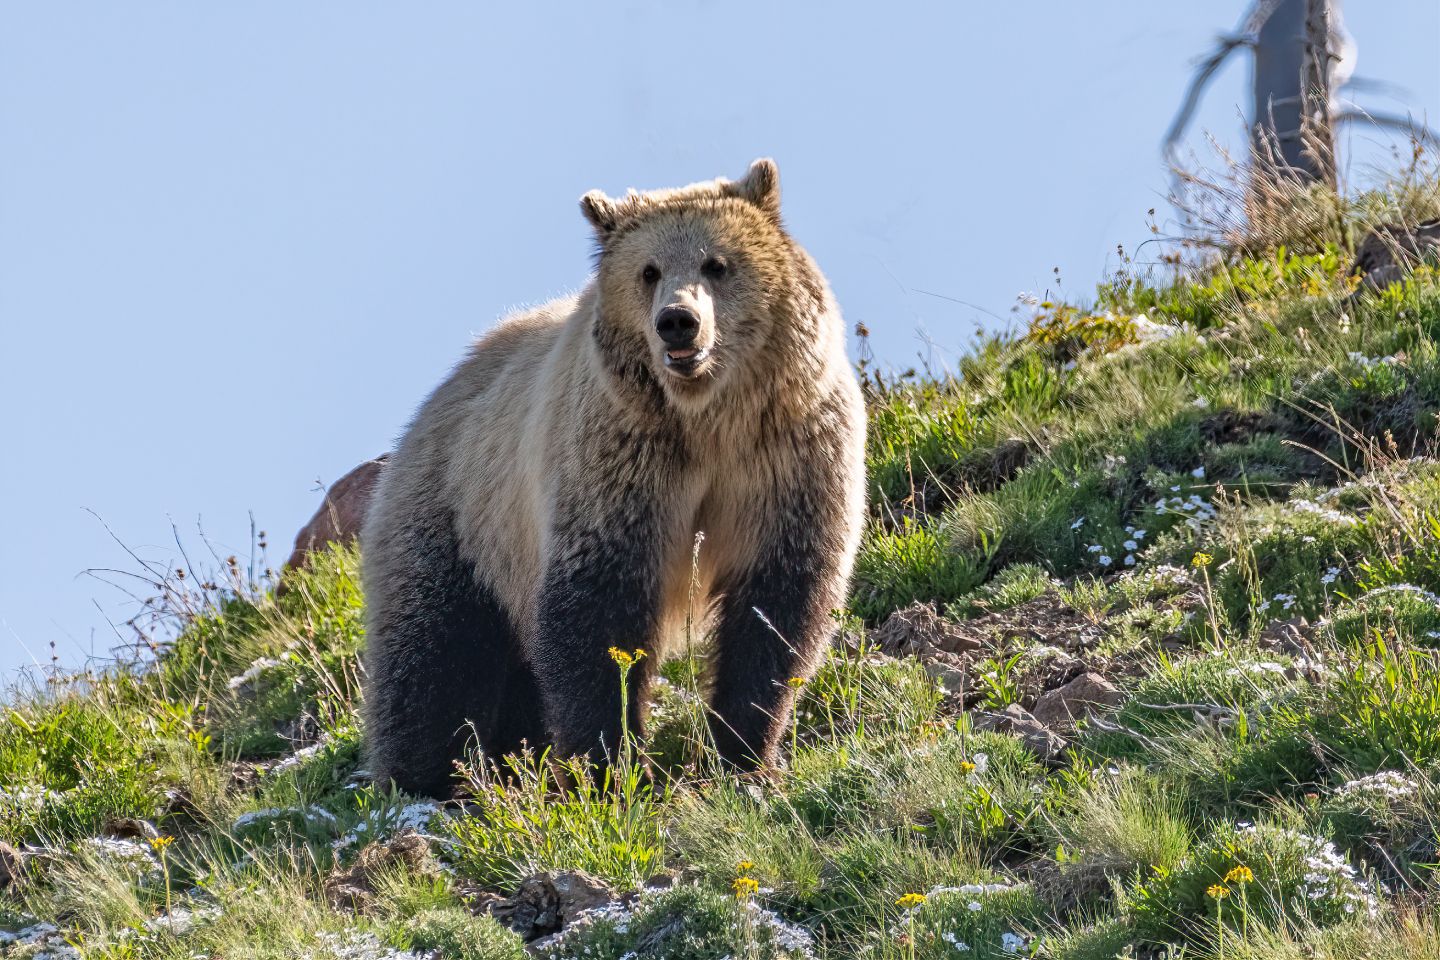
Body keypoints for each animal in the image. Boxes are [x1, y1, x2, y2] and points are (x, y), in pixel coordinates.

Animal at [362, 159, 864, 794]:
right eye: (648, 271)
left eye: (717, 263)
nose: (678, 323)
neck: (707, 419)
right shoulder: (622, 459)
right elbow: (597, 606)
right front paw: (612, 764)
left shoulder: (786, 453)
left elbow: (777, 604)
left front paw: (743, 751)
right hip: (460, 516)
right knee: (437, 654)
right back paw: (424, 780)